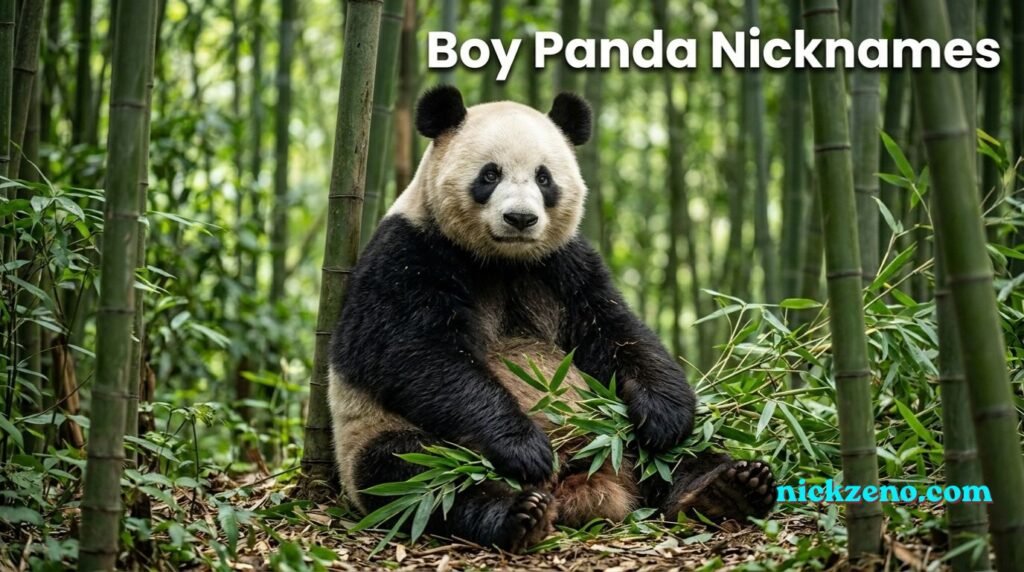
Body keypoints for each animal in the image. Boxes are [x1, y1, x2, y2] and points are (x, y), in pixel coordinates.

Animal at [327, 85, 776, 553]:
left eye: (544, 178)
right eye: (490, 175)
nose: (520, 218)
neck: (501, 259)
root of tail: (584, 481)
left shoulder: (563, 264)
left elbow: (615, 331)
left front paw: (665, 415)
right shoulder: (408, 253)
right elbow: (409, 352)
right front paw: (524, 448)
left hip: (612, 427)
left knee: (680, 455)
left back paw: (727, 488)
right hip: (376, 438)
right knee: (419, 476)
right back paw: (517, 514)